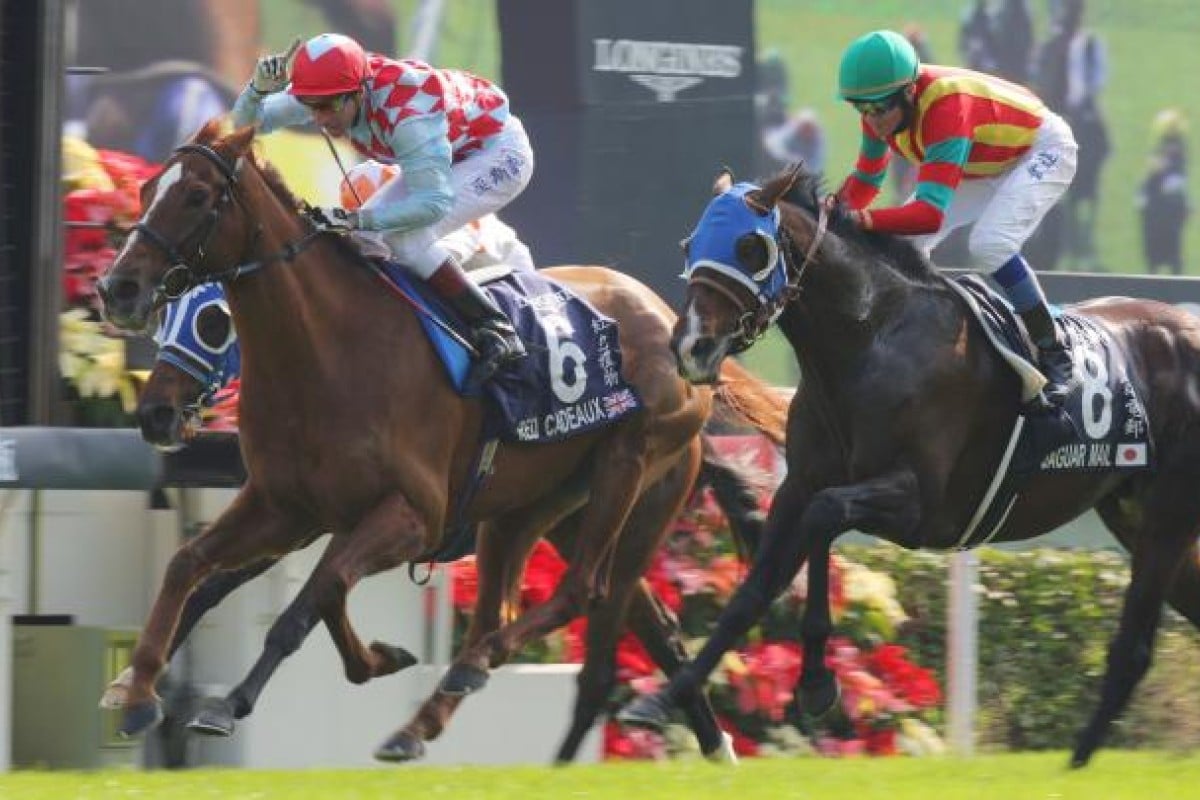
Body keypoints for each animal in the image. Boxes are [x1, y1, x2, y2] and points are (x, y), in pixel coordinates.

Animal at [96, 122, 787, 762]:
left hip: (629, 469)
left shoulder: (409, 516)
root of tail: (674, 325)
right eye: (147, 190)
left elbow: (314, 597)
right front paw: (135, 693)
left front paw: (246, 697)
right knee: (625, 624)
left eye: (196, 195)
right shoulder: (287, 508)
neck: (328, 351)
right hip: (540, 512)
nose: (118, 289)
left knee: (578, 594)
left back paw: (472, 677)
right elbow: (194, 569)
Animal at [624, 164, 1200, 767]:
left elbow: (824, 517)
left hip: (1168, 511)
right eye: (690, 245)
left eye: (749, 247)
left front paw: (815, 681)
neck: (871, 338)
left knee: (1135, 646)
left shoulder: (920, 505)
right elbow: (757, 587)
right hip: (1135, 515)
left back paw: (1077, 760)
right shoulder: (800, 484)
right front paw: (664, 701)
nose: (691, 346)